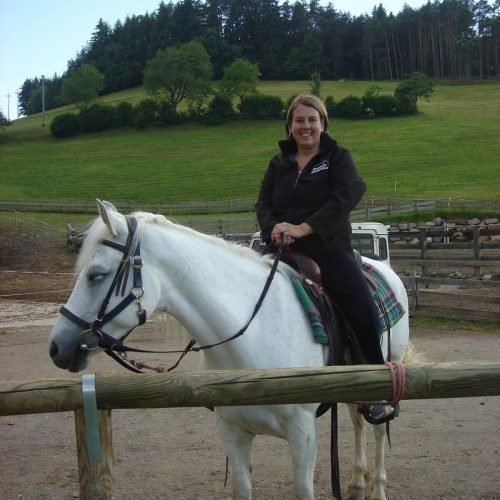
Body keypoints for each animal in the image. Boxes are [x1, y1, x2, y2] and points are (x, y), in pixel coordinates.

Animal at [47, 200, 410, 500]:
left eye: (96, 275)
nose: (57, 346)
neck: (253, 335)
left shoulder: (303, 435)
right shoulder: (232, 433)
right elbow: (241, 489)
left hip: (382, 372)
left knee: (377, 426)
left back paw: (376, 488)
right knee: (358, 420)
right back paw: (357, 483)